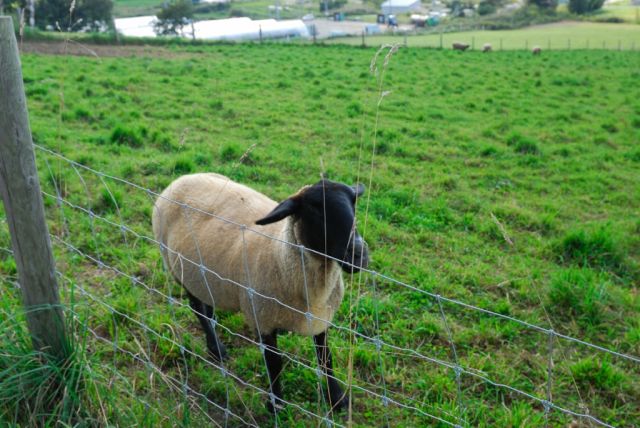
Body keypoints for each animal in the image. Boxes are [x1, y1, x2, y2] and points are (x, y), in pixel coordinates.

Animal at [151, 173, 370, 412]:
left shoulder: (321, 318)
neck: (281, 254)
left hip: (202, 275)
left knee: (207, 307)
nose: (359, 254)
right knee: (198, 309)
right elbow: (274, 362)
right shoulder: (262, 318)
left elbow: (325, 358)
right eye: (315, 210)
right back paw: (216, 349)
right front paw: (276, 404)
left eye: (354, 204)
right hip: (179, 270)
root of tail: (183, 178)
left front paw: (338, 398)